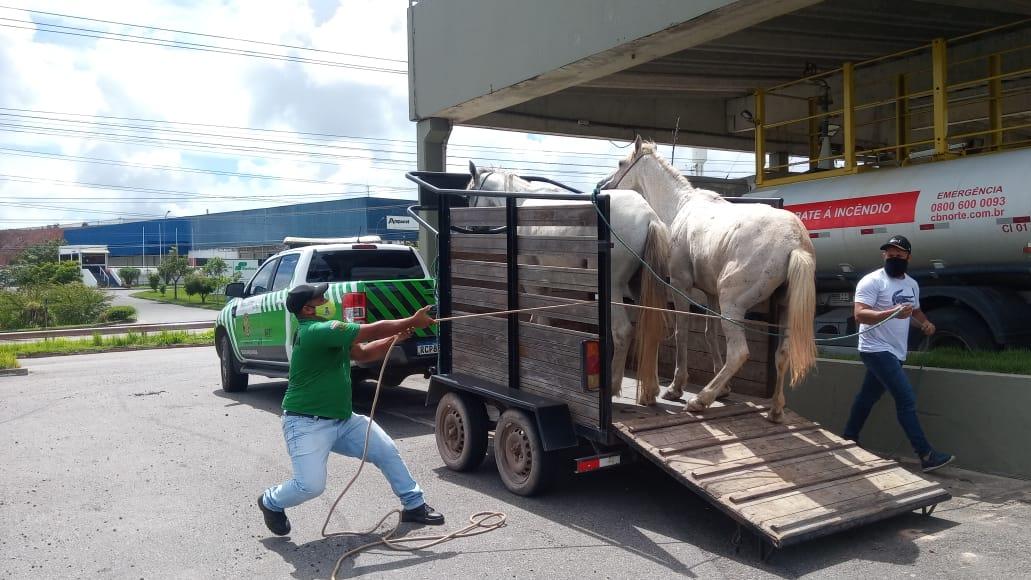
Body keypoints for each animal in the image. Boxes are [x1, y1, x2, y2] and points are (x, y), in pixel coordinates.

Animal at [466, 162, 671, 406]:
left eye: (468, 194)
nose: (470, 229)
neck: (522, 204)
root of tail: (649, 217)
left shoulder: (534, 281)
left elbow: (542, 320)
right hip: (638, 288)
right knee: (654, 329)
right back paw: (650, 392)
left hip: (614, 289)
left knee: (623, 332)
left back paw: (612, 387)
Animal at [600, 138, 816, 423]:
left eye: (621, 163)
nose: (603, 187)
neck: (679, 208)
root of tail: (795, 242)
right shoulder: (711, 294)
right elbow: (709, 334)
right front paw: (724, 389)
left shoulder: (680, 285)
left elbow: (681, 331)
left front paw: (677, 387)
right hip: (784, 308)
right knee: (782, 354)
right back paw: (775, 409)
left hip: (732, 304)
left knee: (738, 352)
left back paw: (701, 400)